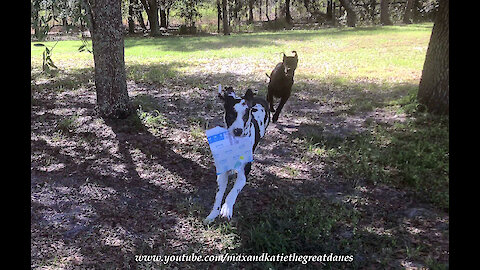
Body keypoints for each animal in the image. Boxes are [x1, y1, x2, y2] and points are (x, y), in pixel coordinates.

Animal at [203, 85, 270, 223]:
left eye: (246, 115)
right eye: (231, 114)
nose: (238, 131)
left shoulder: (243, 175)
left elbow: (232, 193)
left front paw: (227, 208)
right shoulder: (222, 174)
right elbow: (218, 195)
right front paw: (213, 214)